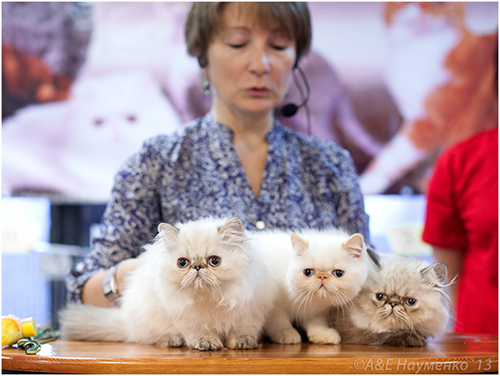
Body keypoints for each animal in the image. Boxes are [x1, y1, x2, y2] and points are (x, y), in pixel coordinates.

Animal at [60, 216, 278, 352]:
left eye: (214, 261)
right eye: (183, 263)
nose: (197, 267)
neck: (210, 299)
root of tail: (127, 321)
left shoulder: (251, 312)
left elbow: (243, 329)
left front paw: (243, 341)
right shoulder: (185, 317)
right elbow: (198, 331)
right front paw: (205, 342)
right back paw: (173, 340)